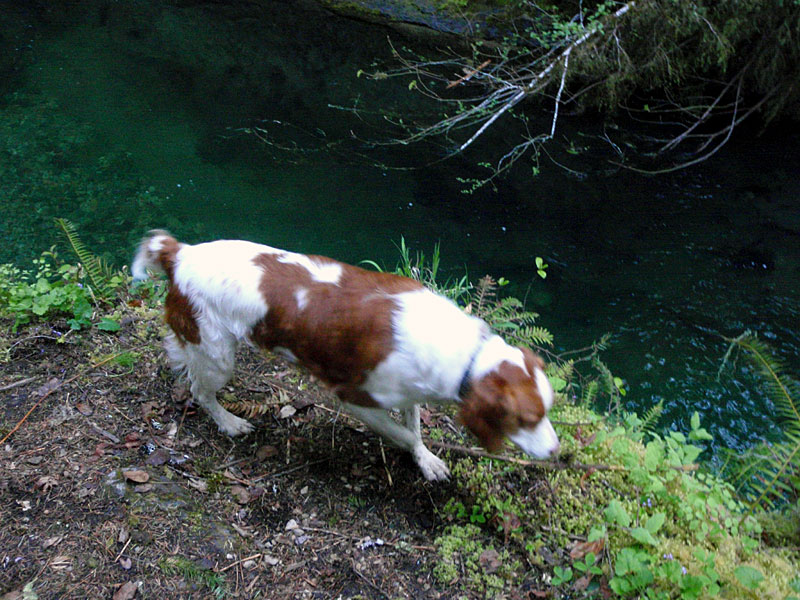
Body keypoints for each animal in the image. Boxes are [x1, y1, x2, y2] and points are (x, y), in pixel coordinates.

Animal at [131, 232, 560, 480]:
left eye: (548, 411)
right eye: (526, 420)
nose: (557, 452)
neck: (467, 352)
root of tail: (179, 254)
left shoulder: (410, 390)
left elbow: (414, 427)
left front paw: (426, 460)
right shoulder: (355, 399)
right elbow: (404, 432)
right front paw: (418, 453)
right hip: (218, 353)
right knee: (200, 391)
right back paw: (229, 422)